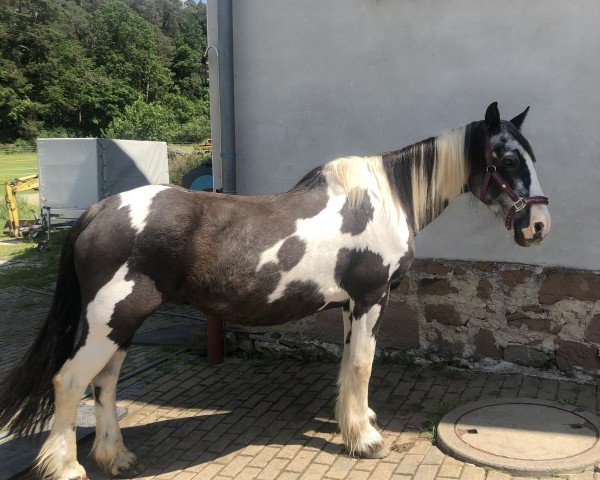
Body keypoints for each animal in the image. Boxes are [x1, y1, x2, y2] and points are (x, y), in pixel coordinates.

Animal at [0, 102, 552, 480]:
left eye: (530, 155)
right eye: (505, 159)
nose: (539, 226)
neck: (386, 198)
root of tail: (99, 210)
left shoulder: (350, 306)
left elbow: (349, 364)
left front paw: (352, 421)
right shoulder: (371, 298)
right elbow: (363, 364)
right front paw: (366, 440)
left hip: (121, 323)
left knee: (106, 383)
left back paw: (116, 457)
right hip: (107, 323)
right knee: (70, 382)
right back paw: (68, 466)